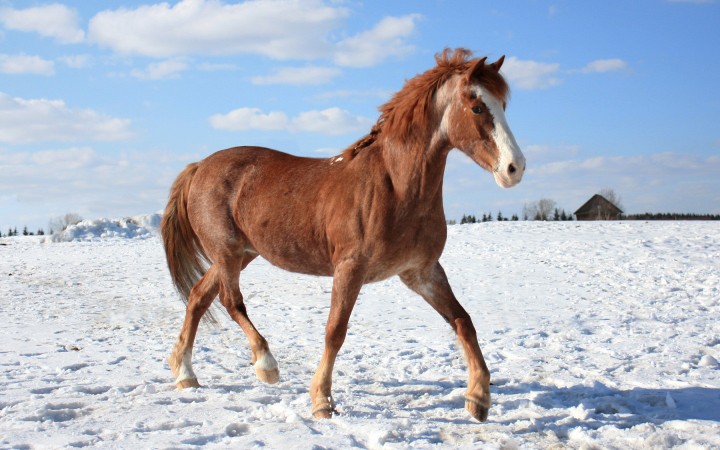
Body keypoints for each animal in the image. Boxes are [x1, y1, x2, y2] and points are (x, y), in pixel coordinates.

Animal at [162, 49, 524, 422]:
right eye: (477, 106)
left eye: (502, 105)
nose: (515, 168)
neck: (395, 186)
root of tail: (199, 166)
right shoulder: (350, 268)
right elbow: (335, 331)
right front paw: (322, 400)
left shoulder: (421, 272)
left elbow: (463, 321)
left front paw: (479, 397)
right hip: (228, 252)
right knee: (230, 301)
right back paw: (266, 365)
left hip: (241, 254)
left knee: (198, 297)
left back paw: (185, 373)